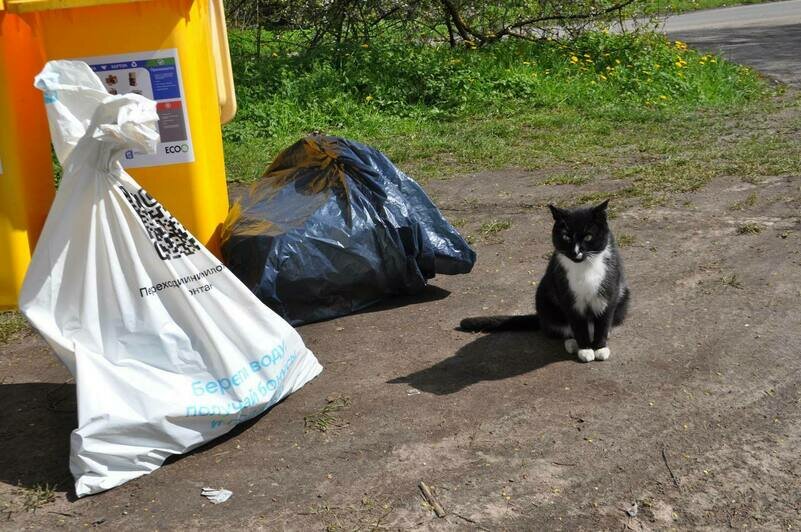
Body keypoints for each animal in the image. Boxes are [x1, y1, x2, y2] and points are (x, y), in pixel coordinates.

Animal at [460, 200, 628, 362]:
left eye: (588, 236)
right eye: (566, 237)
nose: (575, 252)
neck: (585, 267)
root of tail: (540, 319)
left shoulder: (608, 292)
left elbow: (603, 321)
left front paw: (600, 348)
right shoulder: (568, 297)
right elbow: (577, 325)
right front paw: (585, 349)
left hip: (624, 294)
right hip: (545, 300)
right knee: (562, 328)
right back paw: (572, 343)